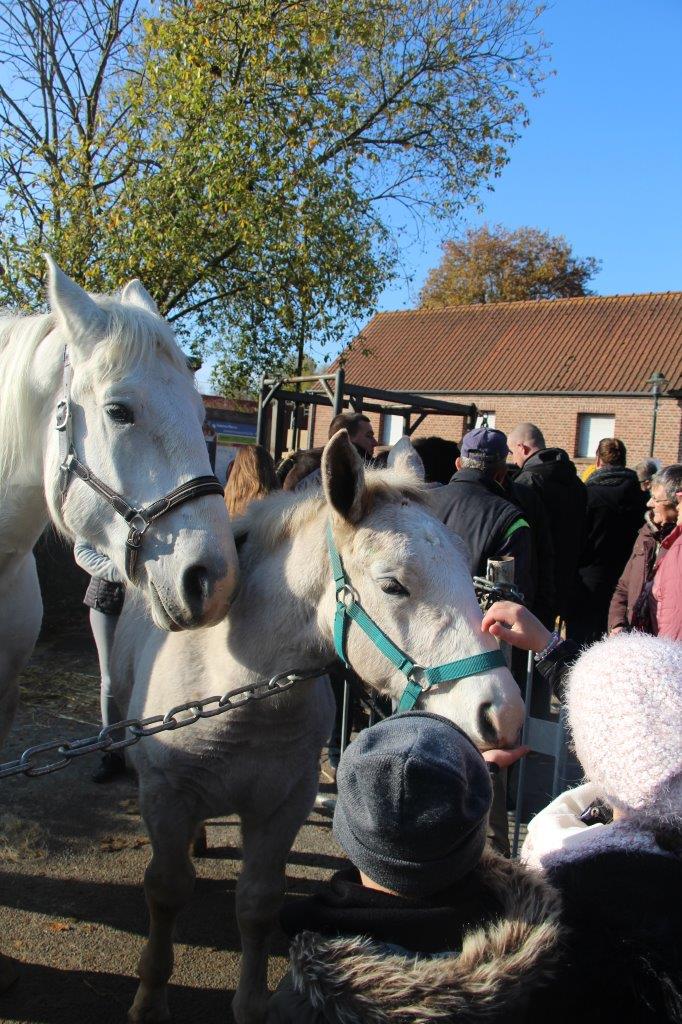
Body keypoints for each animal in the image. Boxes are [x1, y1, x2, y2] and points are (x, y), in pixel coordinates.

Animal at [114, 432, 522, 1024]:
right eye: (392, 585)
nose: (504, 712)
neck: (237, 691)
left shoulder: (285, 803)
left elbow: (258, 903)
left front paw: (251, 1003)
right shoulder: (165, 796)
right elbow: (166, 892)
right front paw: (149, 1000)